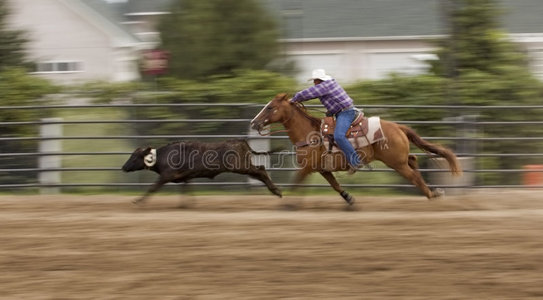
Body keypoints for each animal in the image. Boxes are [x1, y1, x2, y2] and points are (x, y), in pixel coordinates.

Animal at [252, 93, 464, 206]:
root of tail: (398, 127)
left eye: (270, 107)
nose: (254, 122)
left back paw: (431, 194)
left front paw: (286, 202)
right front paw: (350, 199)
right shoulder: (322, 169)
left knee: (413, 175)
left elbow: (296, 182)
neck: (309, 133)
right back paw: (434, 191)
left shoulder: (308, 167)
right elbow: (336, 185)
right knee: (413, 161)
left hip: (396, 162)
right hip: (400, 159)